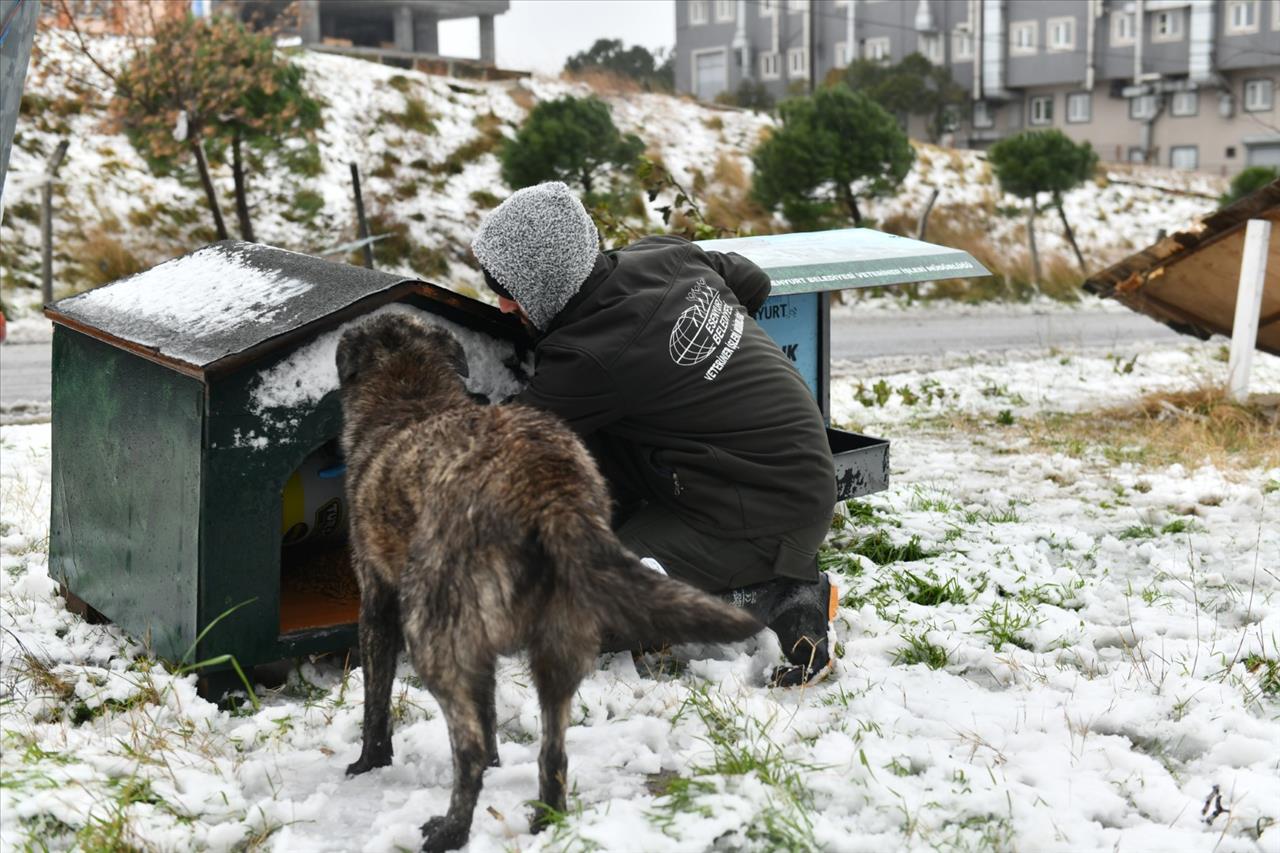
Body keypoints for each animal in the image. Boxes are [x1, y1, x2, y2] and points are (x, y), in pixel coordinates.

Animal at [335, 313, 762, 850]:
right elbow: (489, 712)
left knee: (469, 750)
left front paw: (369, 762)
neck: (411, 396)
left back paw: (450, 830)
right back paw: (546, 820)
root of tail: (545, 484)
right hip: (559, 640)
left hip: (431, 638)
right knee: (553, 750)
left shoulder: (378, 603)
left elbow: (377, 700)